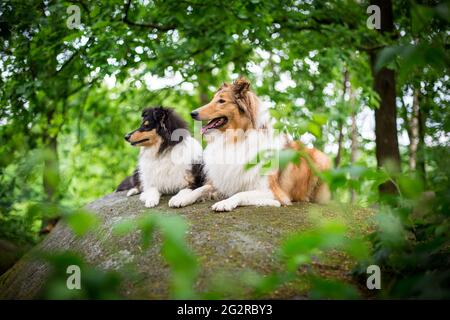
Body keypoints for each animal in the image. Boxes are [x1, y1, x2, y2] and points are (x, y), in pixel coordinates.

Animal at [169, 78, 330, 211]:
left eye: (221, 101)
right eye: (213, 99)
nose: (192, 113)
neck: (236, 140)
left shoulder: (273, 193)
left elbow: (241, 194)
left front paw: (225, 203)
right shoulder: (224, 181)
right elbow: (201, 189)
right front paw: (181, 198)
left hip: (321, 160)